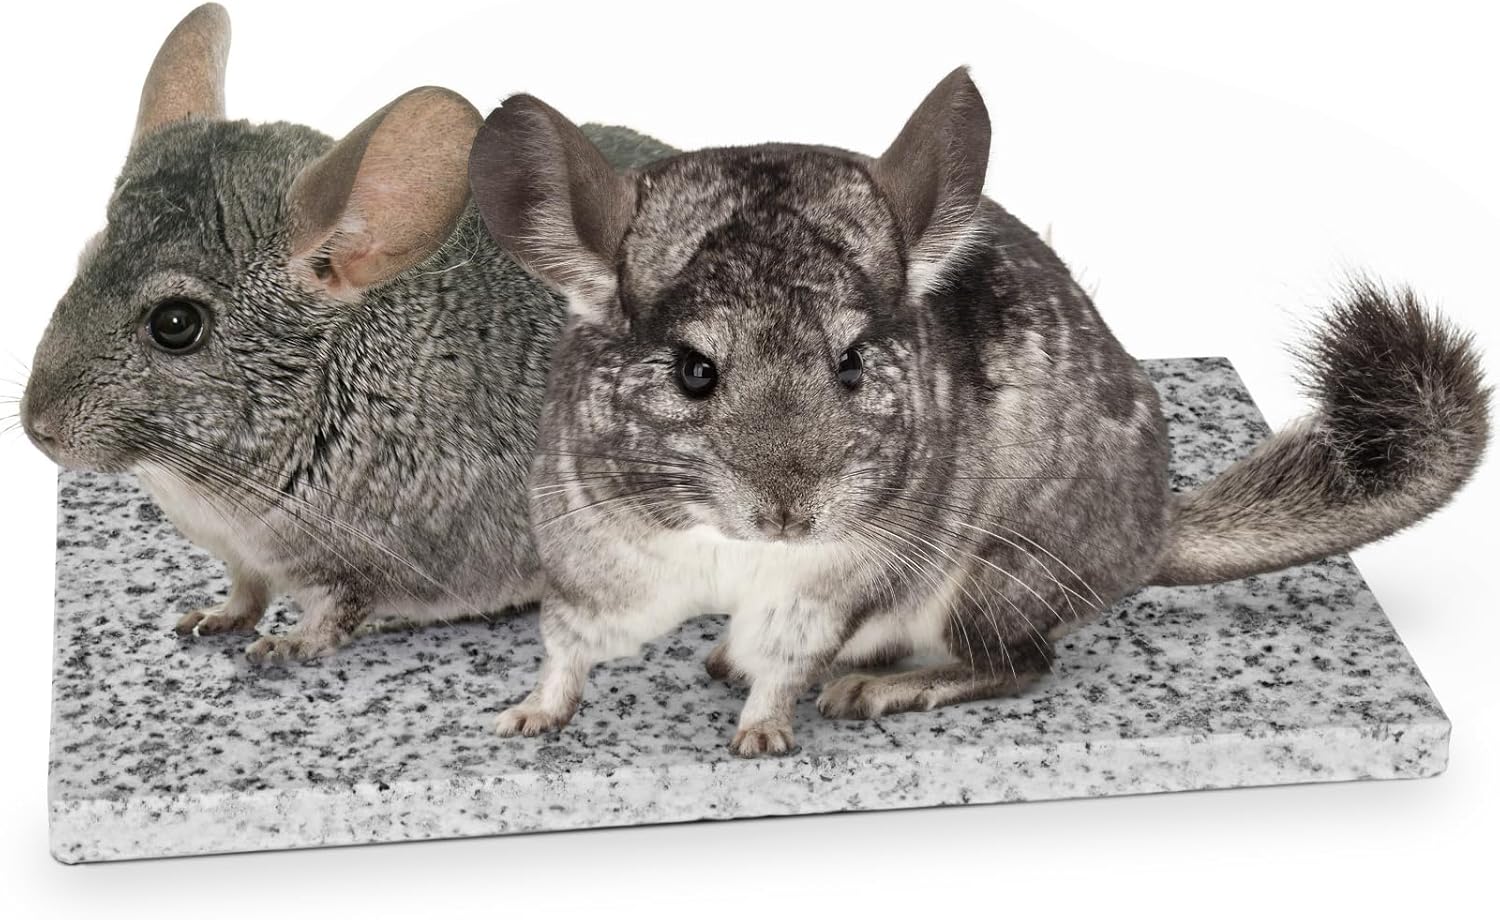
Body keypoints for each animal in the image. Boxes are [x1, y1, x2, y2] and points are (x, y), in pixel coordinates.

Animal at [19, 3, 674, 664]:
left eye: (175, 324)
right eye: (83, 262)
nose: (37, 427)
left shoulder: (366, 561)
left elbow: (334, 615)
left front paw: (282, 646)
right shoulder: (242, 558)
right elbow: (245, 592)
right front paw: (212, 618)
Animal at [466, 68, 1490, 757]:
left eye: (850, 362)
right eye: (692, 371)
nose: (791, 513)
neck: (734, 549)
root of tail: (1153, 534)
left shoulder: (831, 581)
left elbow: (788, 656)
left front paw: (762, 735)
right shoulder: (597, 554)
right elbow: (570, 647)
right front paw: (525, 715)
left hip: (996, 574)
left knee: (1019, 662)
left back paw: (872, 691)